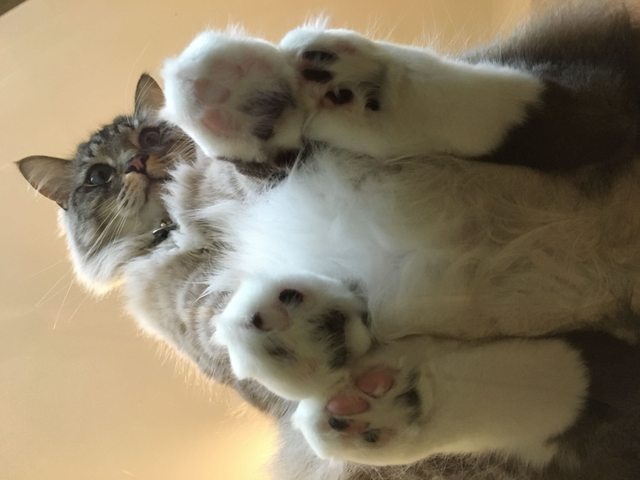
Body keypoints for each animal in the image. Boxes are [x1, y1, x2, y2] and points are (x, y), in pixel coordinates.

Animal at [17, 3, 640, 479]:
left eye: (149, 135)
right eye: (97, 176)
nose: (137, 165)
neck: (182, 220)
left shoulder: (273, 173)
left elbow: (263, 161)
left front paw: (250, 109)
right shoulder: (204, 319)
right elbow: (240, 323)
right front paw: (309, 333)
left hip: (574, 82)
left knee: (529, 103)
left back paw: (289, 84)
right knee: (577, 379)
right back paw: (383, 401)